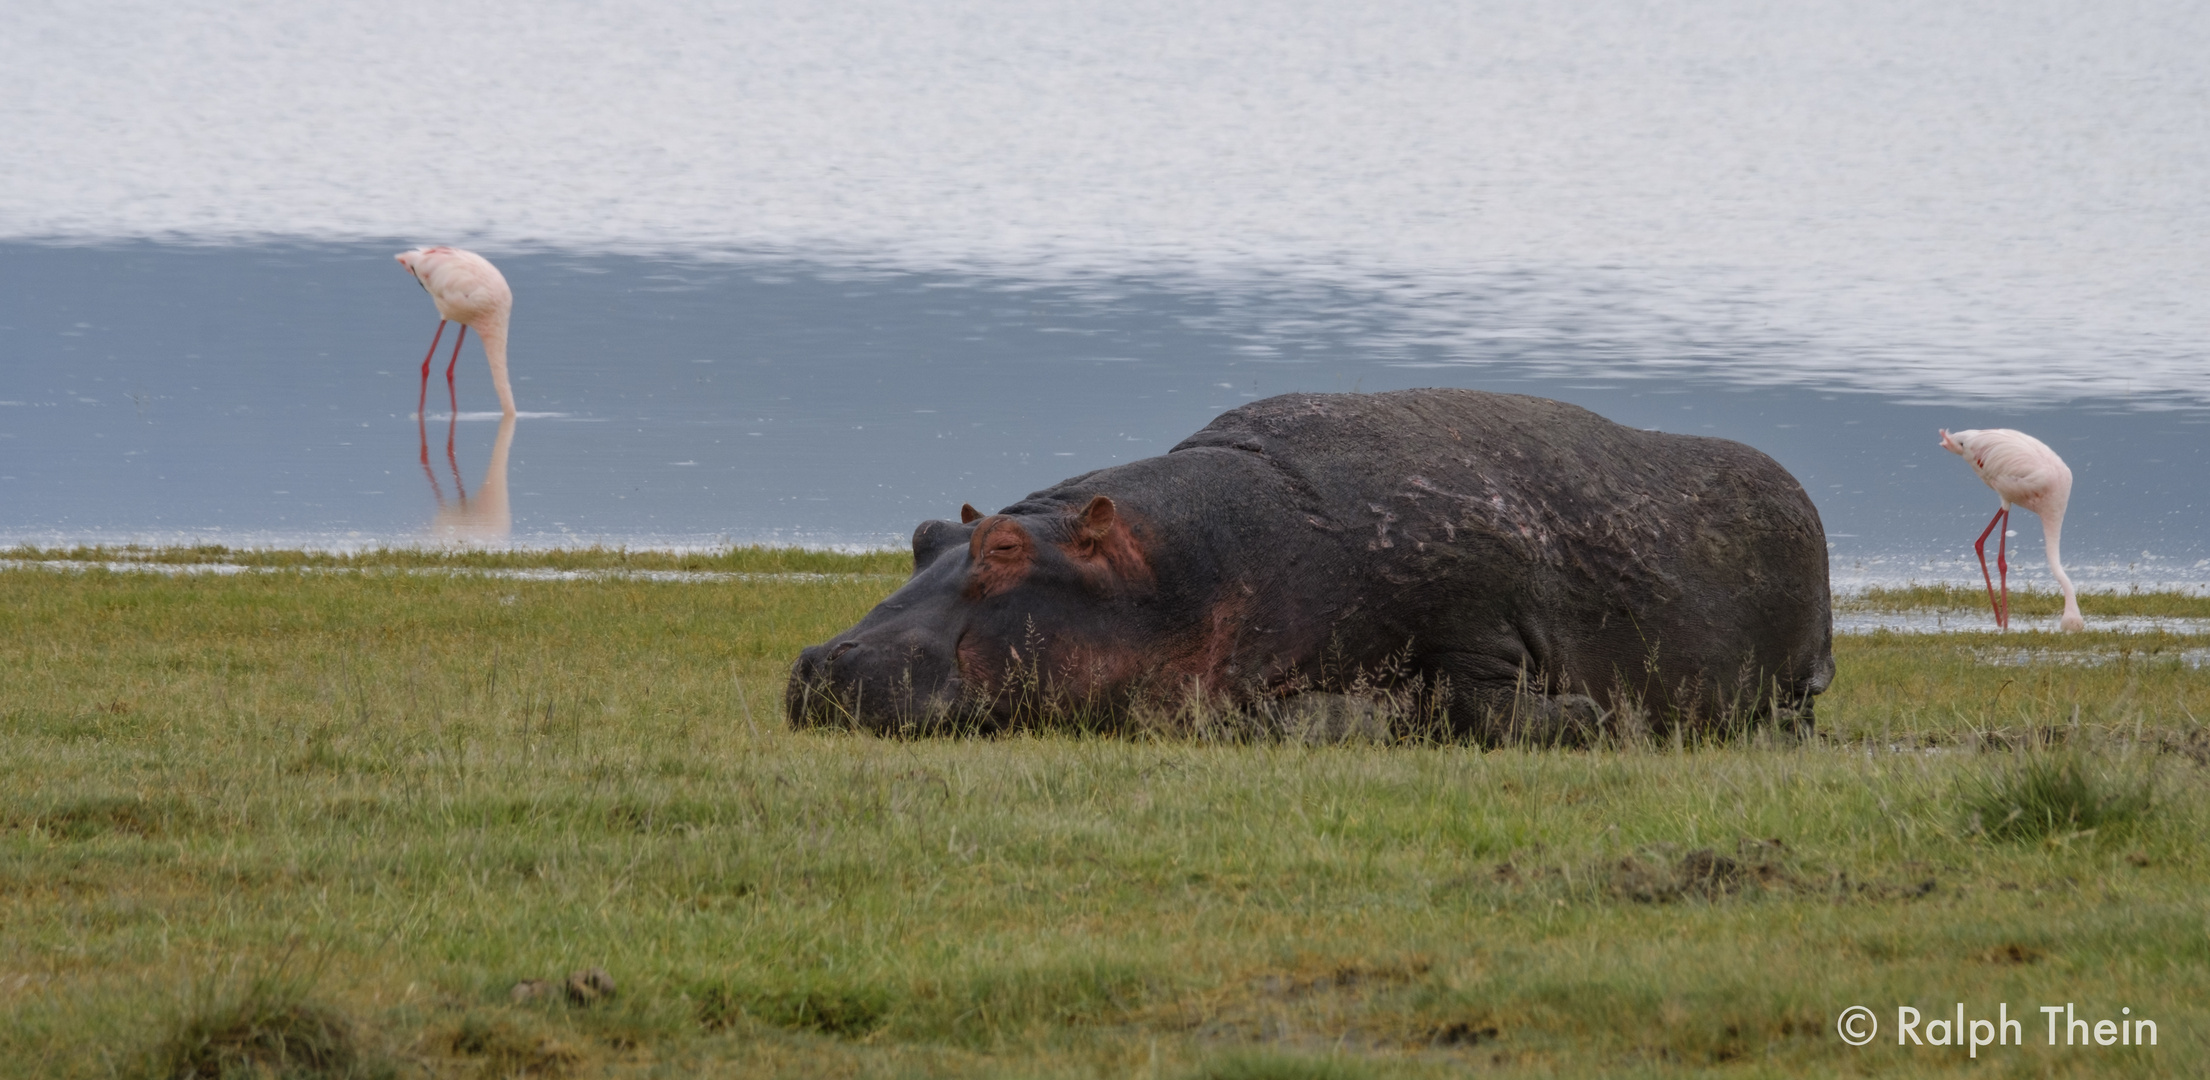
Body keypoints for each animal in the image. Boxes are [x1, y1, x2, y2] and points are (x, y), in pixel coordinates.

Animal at [786, 388, 1838, 742]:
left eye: (1003, 548)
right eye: (924, 533)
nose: (823, 661)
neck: (1185, 565)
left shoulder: (1474, 611)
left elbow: (1479, 699)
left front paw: (1585, 715)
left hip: (1797, 675)